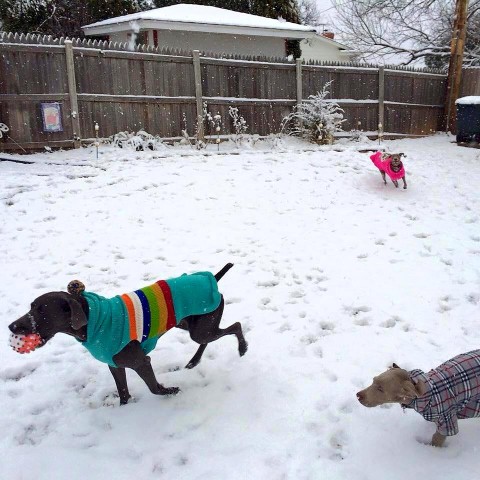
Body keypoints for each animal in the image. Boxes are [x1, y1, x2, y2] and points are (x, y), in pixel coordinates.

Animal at [7, 264, 248, 404]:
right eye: (31, 307)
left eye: (42, 311)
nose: (11, 327)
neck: (93, 320)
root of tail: (212, 278)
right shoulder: (115, 364)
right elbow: (123, 392)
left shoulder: (141, 361)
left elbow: (154, 389)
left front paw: (171, 390)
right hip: (190, 325)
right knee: (210, 338)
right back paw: (194, 361)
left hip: (202, 327)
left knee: (235, 325)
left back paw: (242, 348)